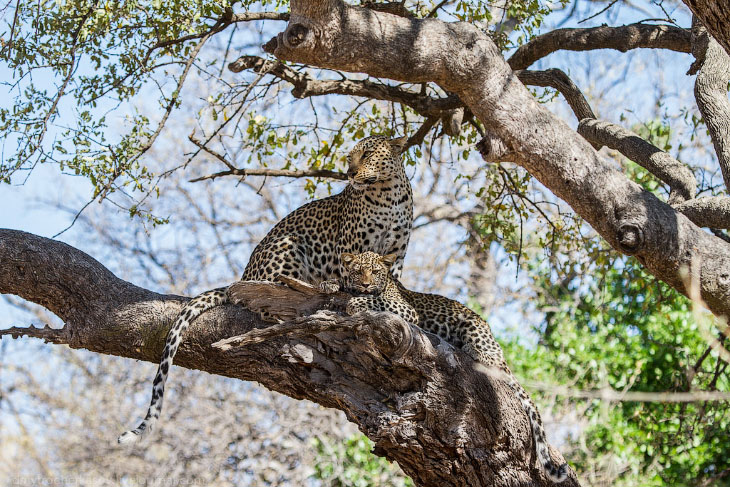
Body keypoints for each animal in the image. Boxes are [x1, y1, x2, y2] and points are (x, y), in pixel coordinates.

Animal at [117, 136, 412, 446]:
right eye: (349, 158)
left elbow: (390, 283)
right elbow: (351, 274)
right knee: (269, 296)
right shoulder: (351, 245)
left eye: (367, 154)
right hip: (288, 244)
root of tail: (243, 275)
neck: (387, 193)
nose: (350, 174)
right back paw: (308, 296)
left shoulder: (397, 253)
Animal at [340, 252, 568, 484]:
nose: (365, 284)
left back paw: (474, 351)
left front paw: (355, 302)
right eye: (358, 271)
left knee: (495, 363)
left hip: (473, 326)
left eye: (375, 272)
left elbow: (376, 299)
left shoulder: (406, 309)